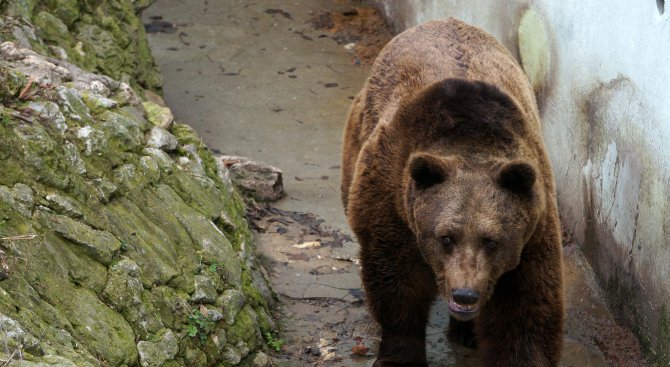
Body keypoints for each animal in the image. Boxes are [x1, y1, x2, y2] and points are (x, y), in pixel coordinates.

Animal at [342, 18, 568, 367]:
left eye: (492, 241)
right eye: (446, 237)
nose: (465, 294)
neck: (471, 142)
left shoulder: (532, 230)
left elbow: (525, 313)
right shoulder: (393, 203)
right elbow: (398, 287)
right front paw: (400, 354)